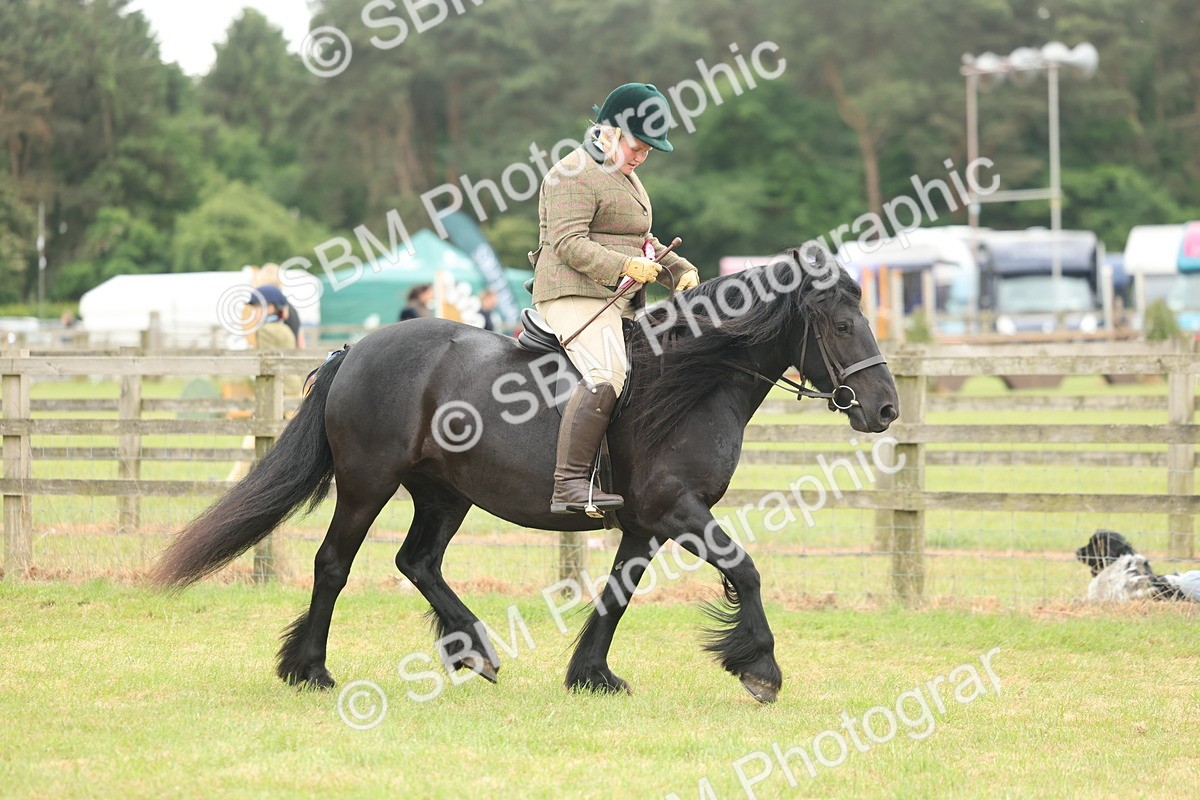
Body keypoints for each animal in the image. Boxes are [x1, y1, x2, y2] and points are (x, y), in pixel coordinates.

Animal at [151, 248, 898, 704]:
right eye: (841, 325)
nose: (886, 409)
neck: (692, 382)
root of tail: (355, 349)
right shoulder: (677, 510)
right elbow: (745, 570)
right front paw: (761, 668)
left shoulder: (644, 525)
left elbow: (616, 595)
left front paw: (591, 674)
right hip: (367, 484)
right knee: (334, 564)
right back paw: (309, 668)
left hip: (445, 494)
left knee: (417, 561)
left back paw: (473, 650)